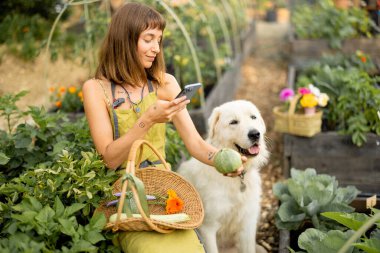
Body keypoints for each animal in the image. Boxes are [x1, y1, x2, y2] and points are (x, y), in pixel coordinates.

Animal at [178, 100, 270, 253]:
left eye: (253, 117)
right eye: (233, 122)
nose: (255, 134)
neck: (235, 180)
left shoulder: (248, 224)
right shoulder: (208, 228)